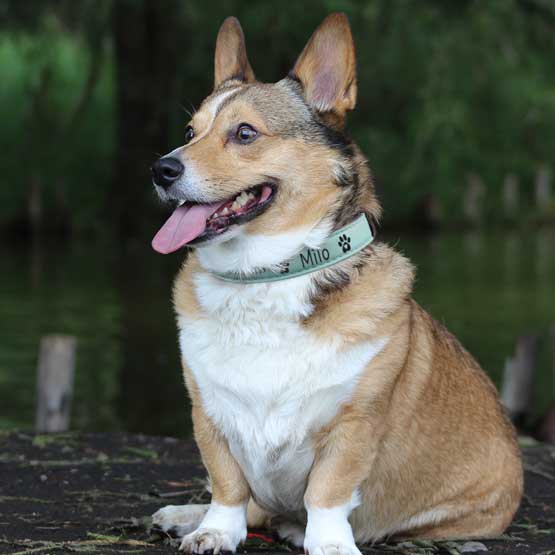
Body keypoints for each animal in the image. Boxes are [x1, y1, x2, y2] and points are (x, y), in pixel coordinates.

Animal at [150, 13, 524, 555]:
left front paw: (327, 543)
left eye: (244, 133)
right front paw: (215, 531)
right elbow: (227, 485)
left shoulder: (353, 425)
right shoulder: (210, 413)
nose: (161, 168)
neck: (266, 276)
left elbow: (326, 492)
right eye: (188, 131)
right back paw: (185, 516)